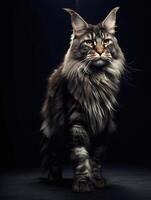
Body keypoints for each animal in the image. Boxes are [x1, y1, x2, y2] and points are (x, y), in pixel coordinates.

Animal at [40, 7, 125, 192]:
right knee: (53, 154)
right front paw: (83, 182)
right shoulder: (76, 122)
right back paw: (53, 177)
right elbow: (80, 156)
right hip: (54, 130)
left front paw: (97, 180)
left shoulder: (104, 126)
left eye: (106, 41)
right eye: (89, 42)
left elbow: (95, 159)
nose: (100, 51)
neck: (96, 79)